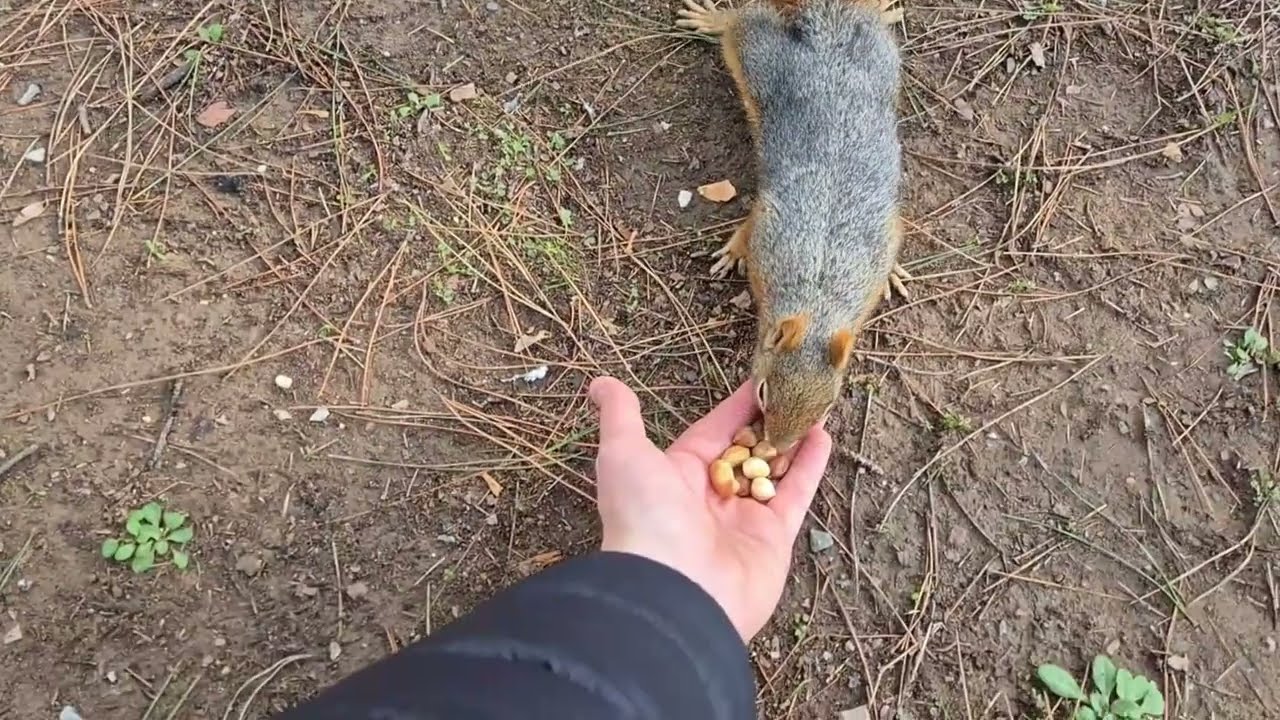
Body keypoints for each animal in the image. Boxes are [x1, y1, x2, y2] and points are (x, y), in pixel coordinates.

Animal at [677, 0, 910, 452]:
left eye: (826, 407)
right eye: (763, 391)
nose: (776, 447)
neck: (819, 297)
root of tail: (826, 34)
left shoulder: (881, 242)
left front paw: (894, 273)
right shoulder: (770, 225)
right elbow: (748, 228)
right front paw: (732, 254)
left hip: (882, 58)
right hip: (760, 57)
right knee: (739, 26)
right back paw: (713, 19)